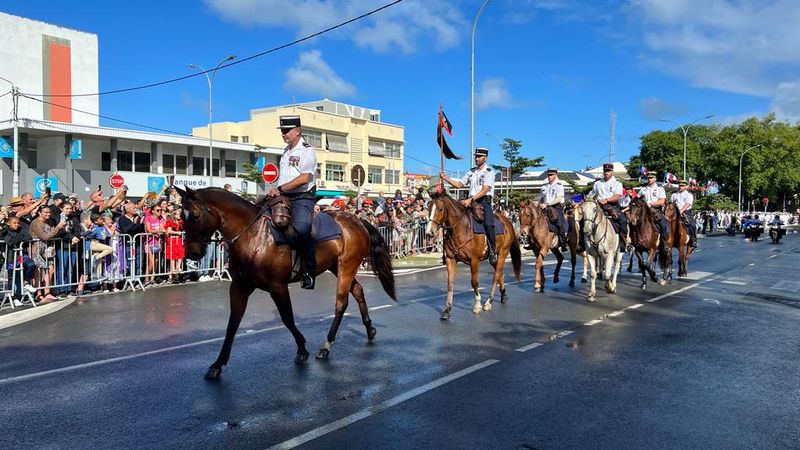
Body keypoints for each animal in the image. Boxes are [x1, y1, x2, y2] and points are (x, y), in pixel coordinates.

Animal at [177, 186, 396, 380]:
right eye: (180, 216)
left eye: (195, 216)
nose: (192, 253)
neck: (254, 236)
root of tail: (357, 220)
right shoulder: (239, 286)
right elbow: (233, 323)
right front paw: (217, 364)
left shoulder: (277, 286)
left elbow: (287, 318)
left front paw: (302, 349)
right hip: (337, 267)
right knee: (358, 291)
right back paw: (369, 329)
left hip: (346, 267)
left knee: (341, 303)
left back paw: (326, 345)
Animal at [428, 190, 520, 320]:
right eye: (429, 208)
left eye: (440, 209)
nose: (429, 232)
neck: (461, 228)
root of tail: (508, 221)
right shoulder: (451, 259)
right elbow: (450, 284)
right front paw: (447, 310)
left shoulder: (474, 261)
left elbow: (474, 282)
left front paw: (477, 305)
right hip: (493, 258)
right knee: (499, 272)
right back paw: (503, 295)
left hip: (503, 253)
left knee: (496, 276)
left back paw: (489, 302)